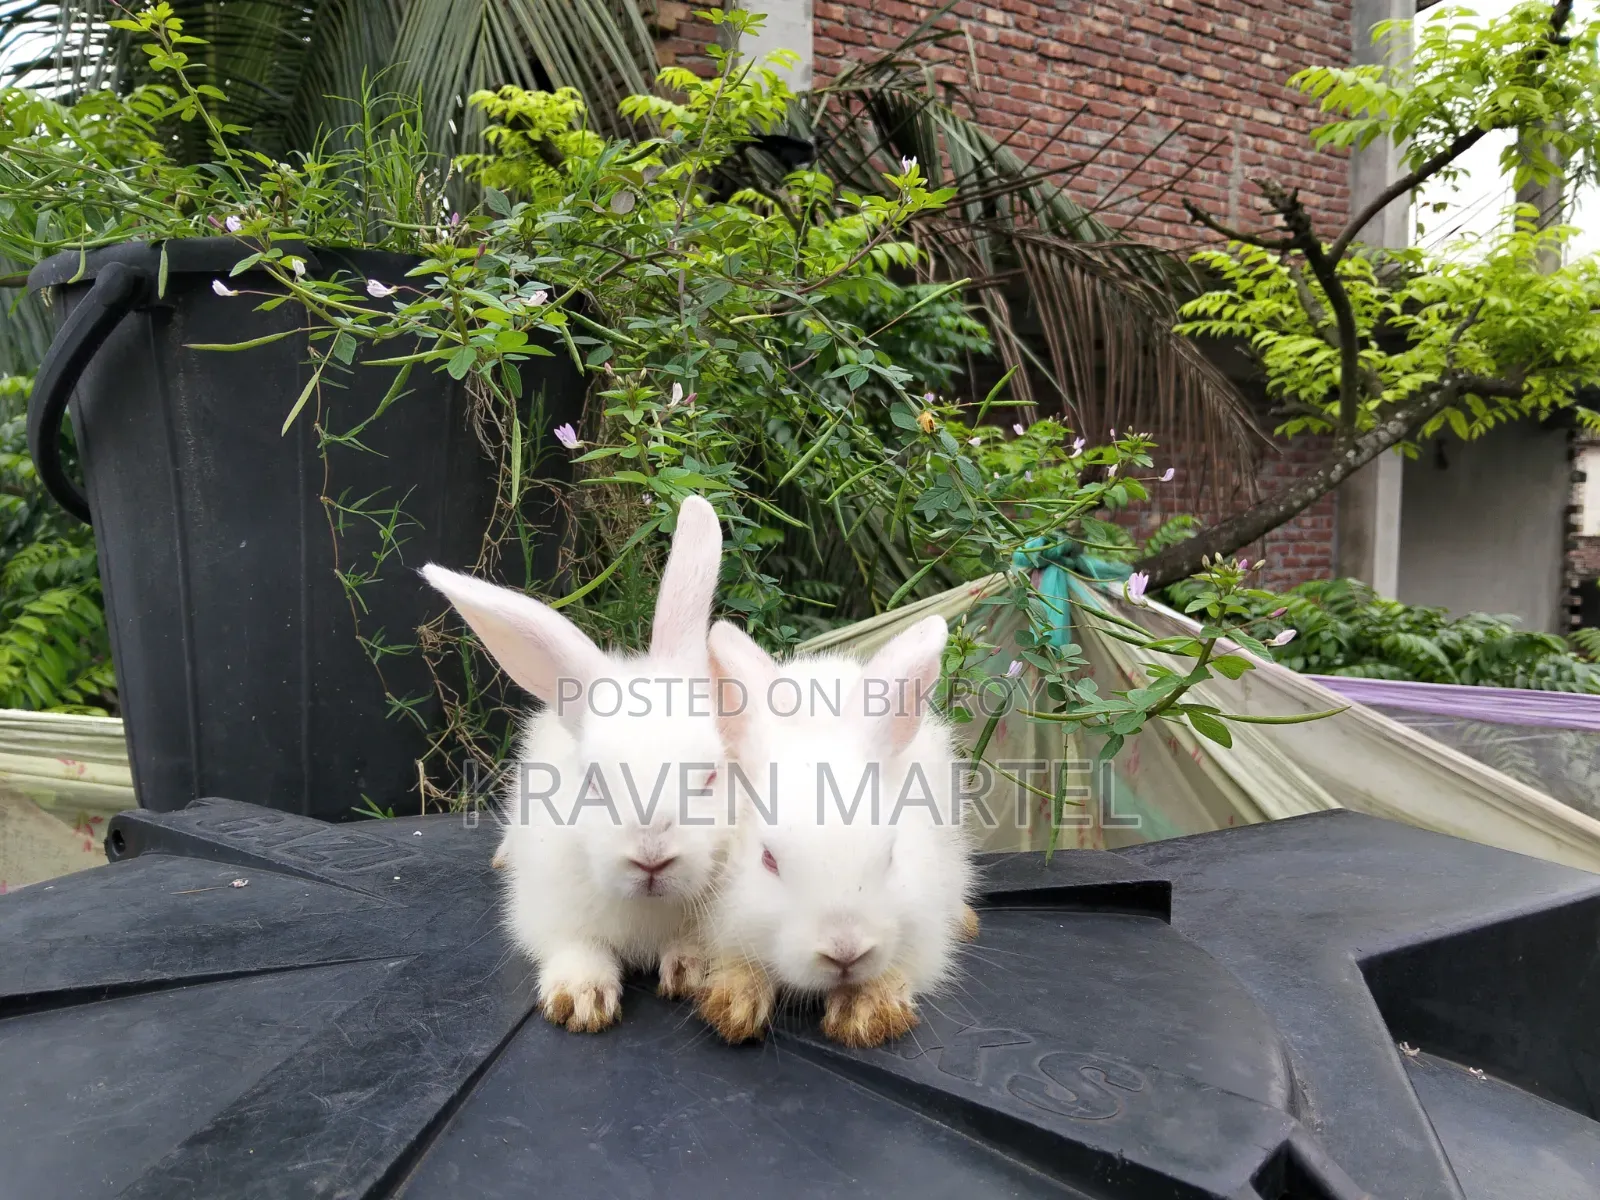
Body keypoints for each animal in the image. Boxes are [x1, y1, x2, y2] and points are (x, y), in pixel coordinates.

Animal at [422, 495, 729, 1033]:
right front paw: (581, 1000)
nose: (651, 856)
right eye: (593, 781)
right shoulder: (550, 913)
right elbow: (576, 946)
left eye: (711, 775)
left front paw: (689, 972)